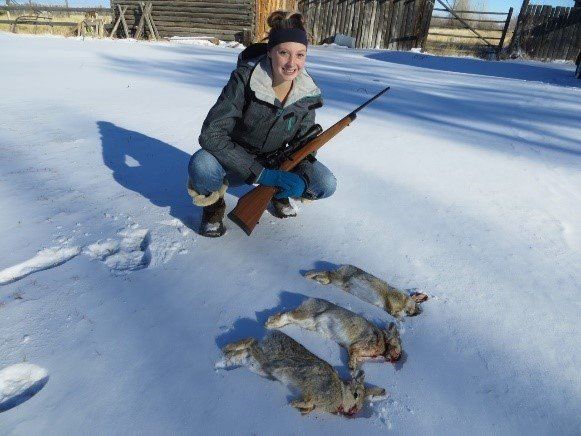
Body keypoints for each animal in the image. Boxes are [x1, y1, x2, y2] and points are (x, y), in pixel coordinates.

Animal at [218, 330, 385, 416]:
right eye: (356, 395)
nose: (355, 410)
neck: (341, 392)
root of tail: (272, 334)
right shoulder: (314, 389)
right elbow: (308, 400)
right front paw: (293, 404)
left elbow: (309, 406)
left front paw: (300, 410)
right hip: (268, 357)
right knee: (251, 342)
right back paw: (227, 348)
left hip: (257, 362)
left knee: (247, 349)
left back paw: (227, 354)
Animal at [266, 298, 402, 371]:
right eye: (398, 344)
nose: (399, 357)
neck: (383, 339)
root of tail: (309, 300)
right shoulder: (359, 345)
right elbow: (354, 352)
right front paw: (352, 367)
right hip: (306, 315)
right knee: (286, 315)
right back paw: (269, 324)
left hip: (307, 323)